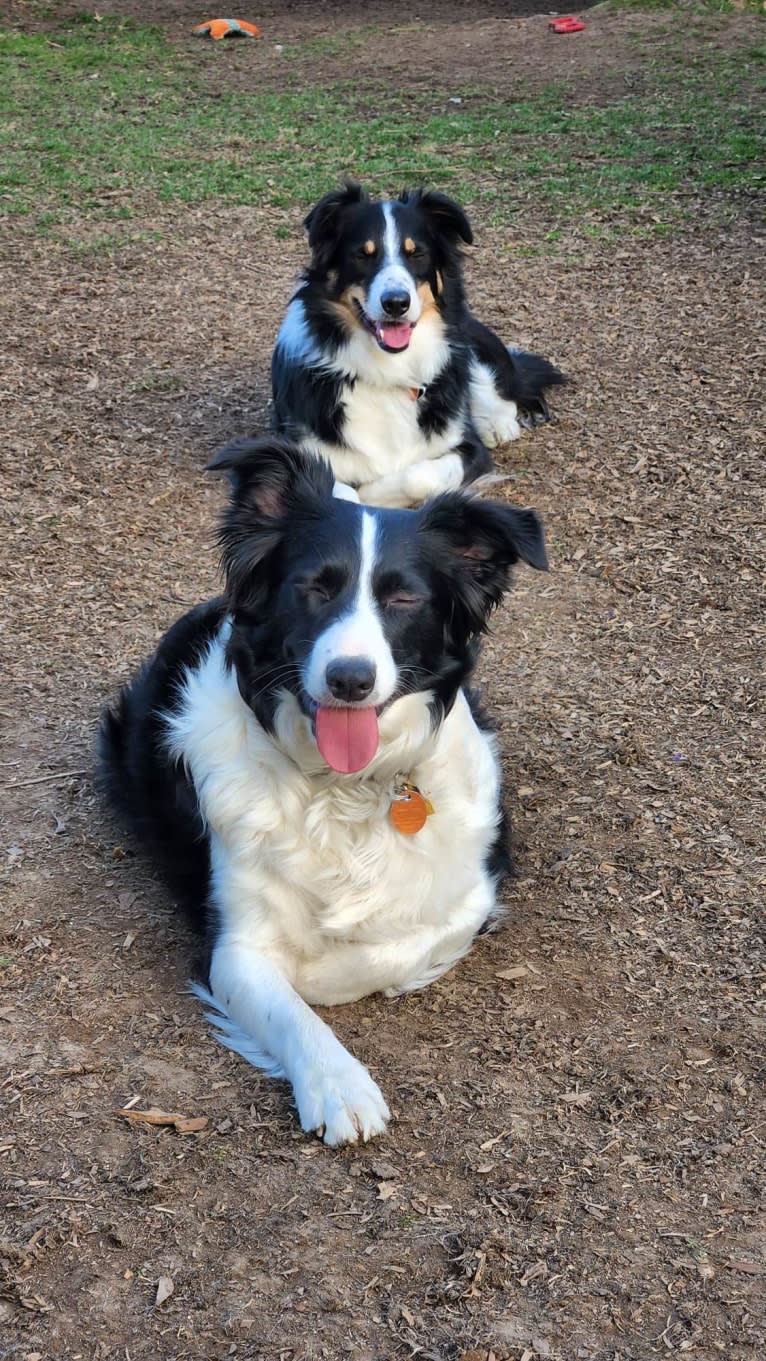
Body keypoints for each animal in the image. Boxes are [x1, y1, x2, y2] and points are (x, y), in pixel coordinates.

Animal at [98, 440, 549, 1143]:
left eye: (404, 598)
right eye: (313, 588)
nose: (350, 679)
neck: (347, 791)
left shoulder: (477, 885)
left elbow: (403, 946)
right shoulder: (235, 947)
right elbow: (291, 1011)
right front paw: (339, 1085)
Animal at [270, 186, 563, 511]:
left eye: (417, 254)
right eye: (362, 255)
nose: (396, 303)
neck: (386, 368)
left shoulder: (470, 451)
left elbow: (418, 476)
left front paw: (372, 492)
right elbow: (342, 491)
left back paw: (500, 422)